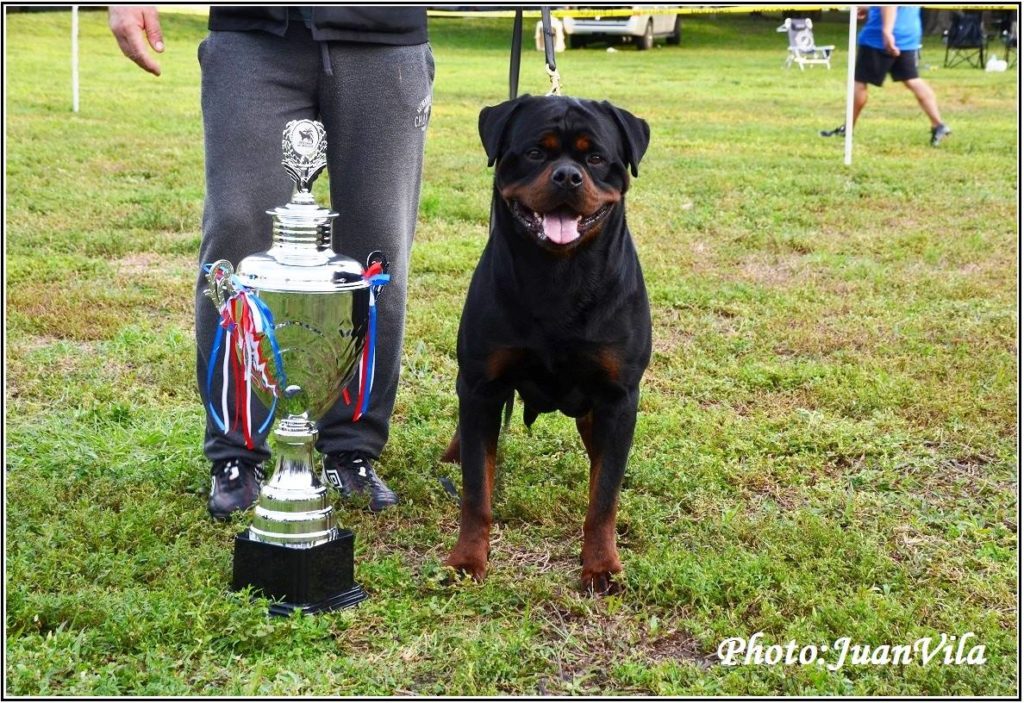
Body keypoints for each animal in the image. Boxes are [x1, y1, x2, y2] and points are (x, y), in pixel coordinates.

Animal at [438, 94, 647, 593]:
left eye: (596, 158)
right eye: (535, 152)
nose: (567, 176)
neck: (559, 275)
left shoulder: (617, 397)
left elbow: (603, 496)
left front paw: (601, 565)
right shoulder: (481, 386)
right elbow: (476, 489)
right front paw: (467, 558)